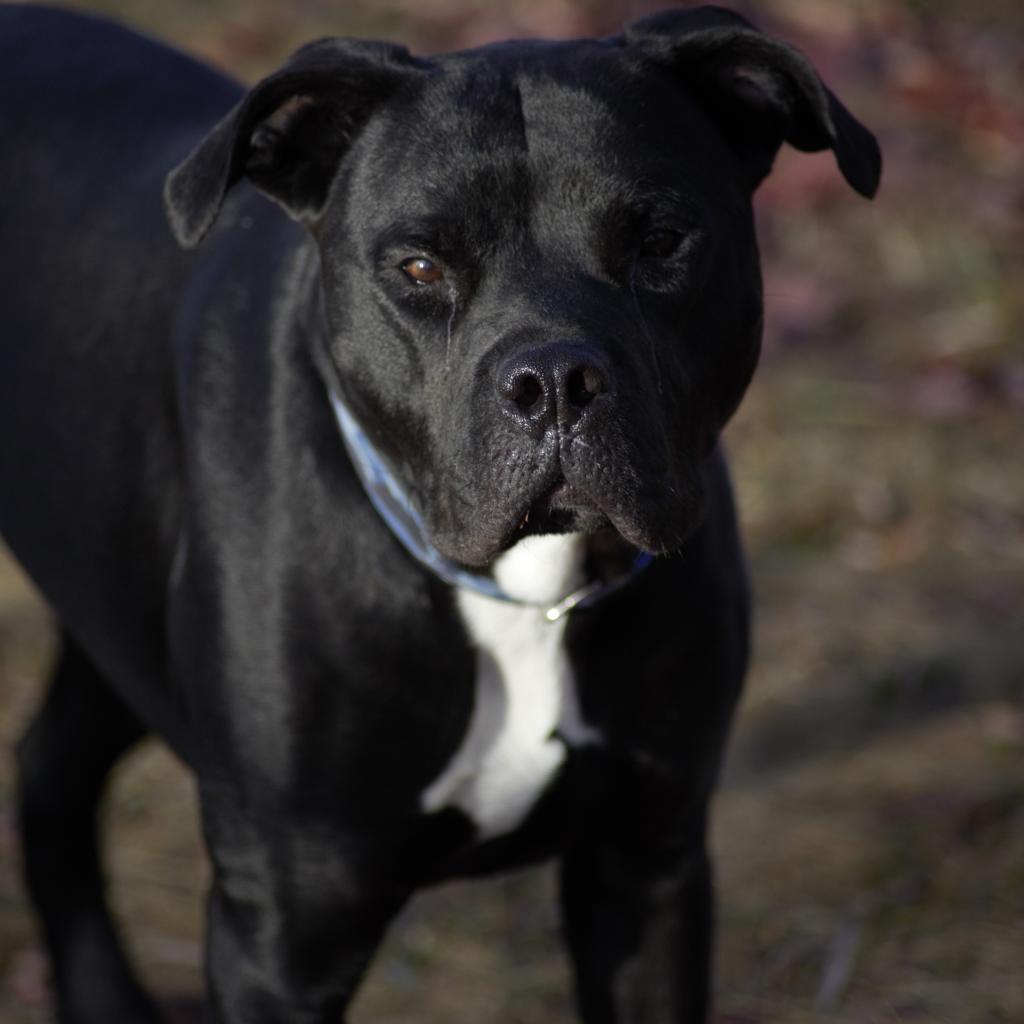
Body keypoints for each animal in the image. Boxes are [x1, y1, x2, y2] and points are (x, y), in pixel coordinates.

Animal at [0, 4, 880, 1019]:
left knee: (52, 769)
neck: (525, 596)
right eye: (419, 266)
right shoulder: (285, 929)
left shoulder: (646, 866)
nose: (554, 380)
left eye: (661, 241)